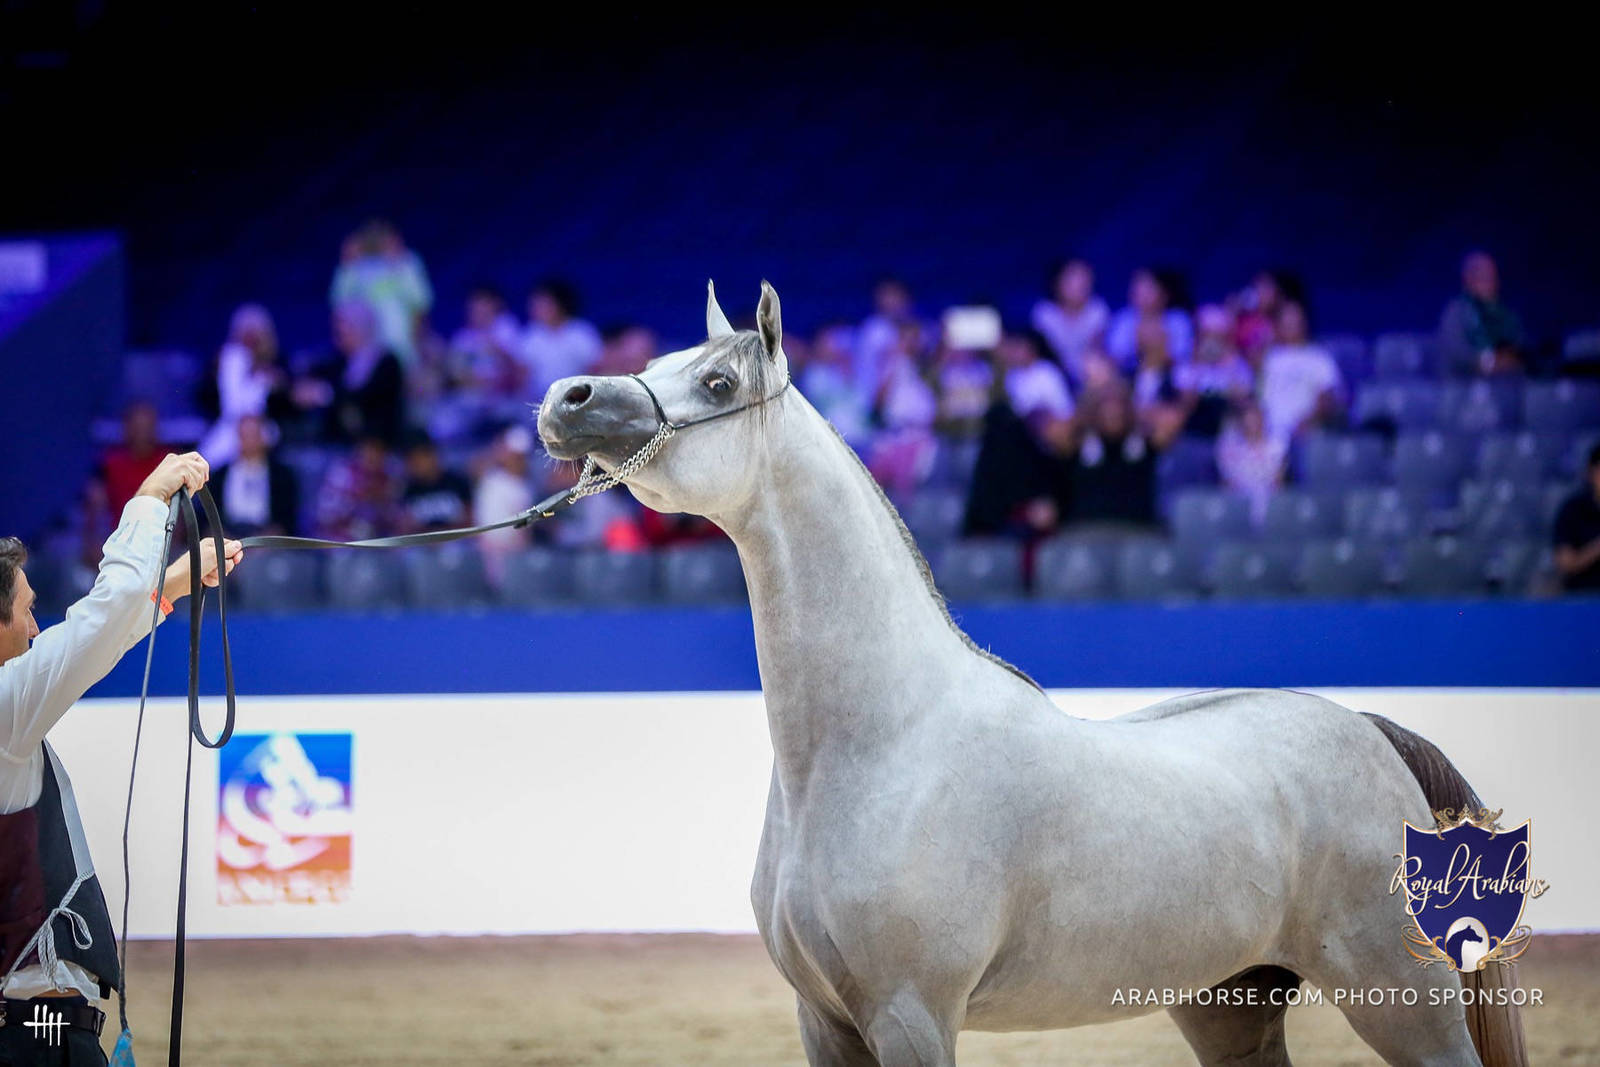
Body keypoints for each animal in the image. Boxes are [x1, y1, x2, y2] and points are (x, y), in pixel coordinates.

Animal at [536, 281, 1528, 1066]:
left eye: (717, 382)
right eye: (658, 359)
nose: (565, 397)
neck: (880, 748)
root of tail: (1369, 731)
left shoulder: (912, 1016)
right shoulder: (825, 1020)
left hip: (1401, 1002)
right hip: (1228, 1004)